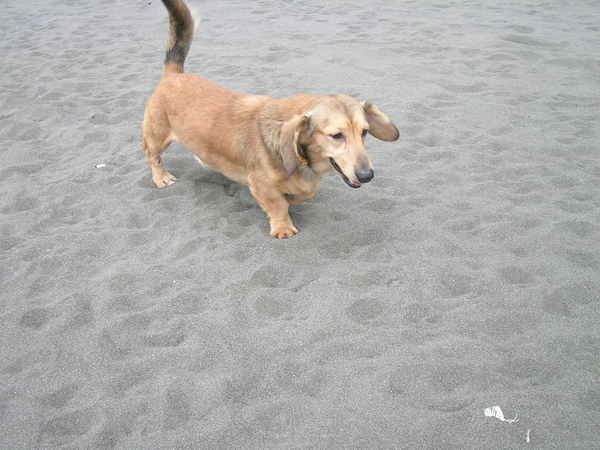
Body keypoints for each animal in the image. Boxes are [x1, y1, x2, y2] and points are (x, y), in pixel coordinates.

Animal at [143, 0, 400, 239]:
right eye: (336, 135)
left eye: (364, 132)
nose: (367, 176)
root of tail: (175, 73)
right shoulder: (260, 184)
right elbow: (278, 205)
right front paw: (283, 227)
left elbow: (303, 194)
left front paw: (293, 198)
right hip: (157, 136)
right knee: (152, 155)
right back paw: (161, 178)